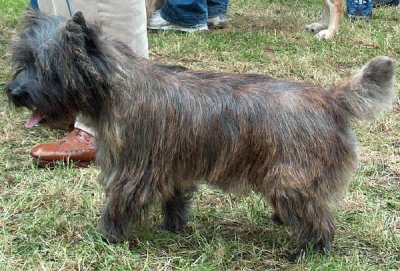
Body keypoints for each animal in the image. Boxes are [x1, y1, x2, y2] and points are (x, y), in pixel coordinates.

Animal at [7, 10, 396, 262]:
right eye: (23, 62)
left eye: (48, 70)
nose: (14, 92)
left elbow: (118, 205)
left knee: (320, 220)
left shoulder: (132, 173)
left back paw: (306, 251)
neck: (117, 86)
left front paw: (104, 238)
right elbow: (175, 198)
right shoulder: (173, 167)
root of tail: (330, 98)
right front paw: (173, 226)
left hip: (291, 179)